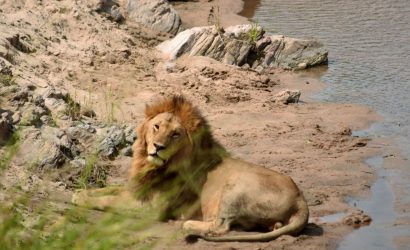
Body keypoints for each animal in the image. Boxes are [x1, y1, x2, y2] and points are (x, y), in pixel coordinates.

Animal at [71, 95, 308, 242]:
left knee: (221, 226)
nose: (158, 147)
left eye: (175, 134)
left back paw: (186, 224)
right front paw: (81, 191)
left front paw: (80, 198)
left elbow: (107, 201)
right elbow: (105, 191)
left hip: (235, 187)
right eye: (156, 127)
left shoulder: (150, 209)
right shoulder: (137, 189)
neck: (150, 165)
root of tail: (301, 198)